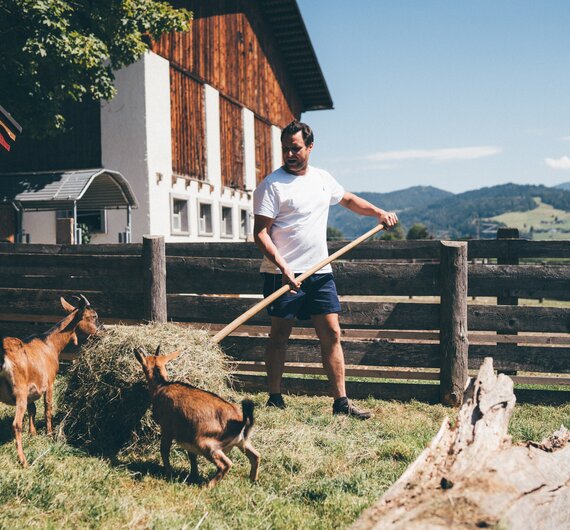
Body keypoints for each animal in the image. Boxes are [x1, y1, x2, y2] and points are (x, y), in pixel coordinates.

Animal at [0, 294, 101, 464]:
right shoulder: (49, 384)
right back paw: (23, 460)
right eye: (93, 316)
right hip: (20, 392)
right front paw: (49, 434)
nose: (103, 331)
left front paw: (33, 433)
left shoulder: (32, 388)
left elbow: (33, 410)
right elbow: (48, 409)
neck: (49, 344)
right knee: (16, 424)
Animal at [133, 342, 260, 486]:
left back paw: (208, 486)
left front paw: (169, 472)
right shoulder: (188, 433)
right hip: (243, 442)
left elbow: (164, 450)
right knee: (256, 456)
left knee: (226, 464)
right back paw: (253, 480)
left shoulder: (167, 429)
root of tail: (241, 421)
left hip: (206, 444)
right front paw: (194, 474)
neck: (162, 386)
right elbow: (192, 456)